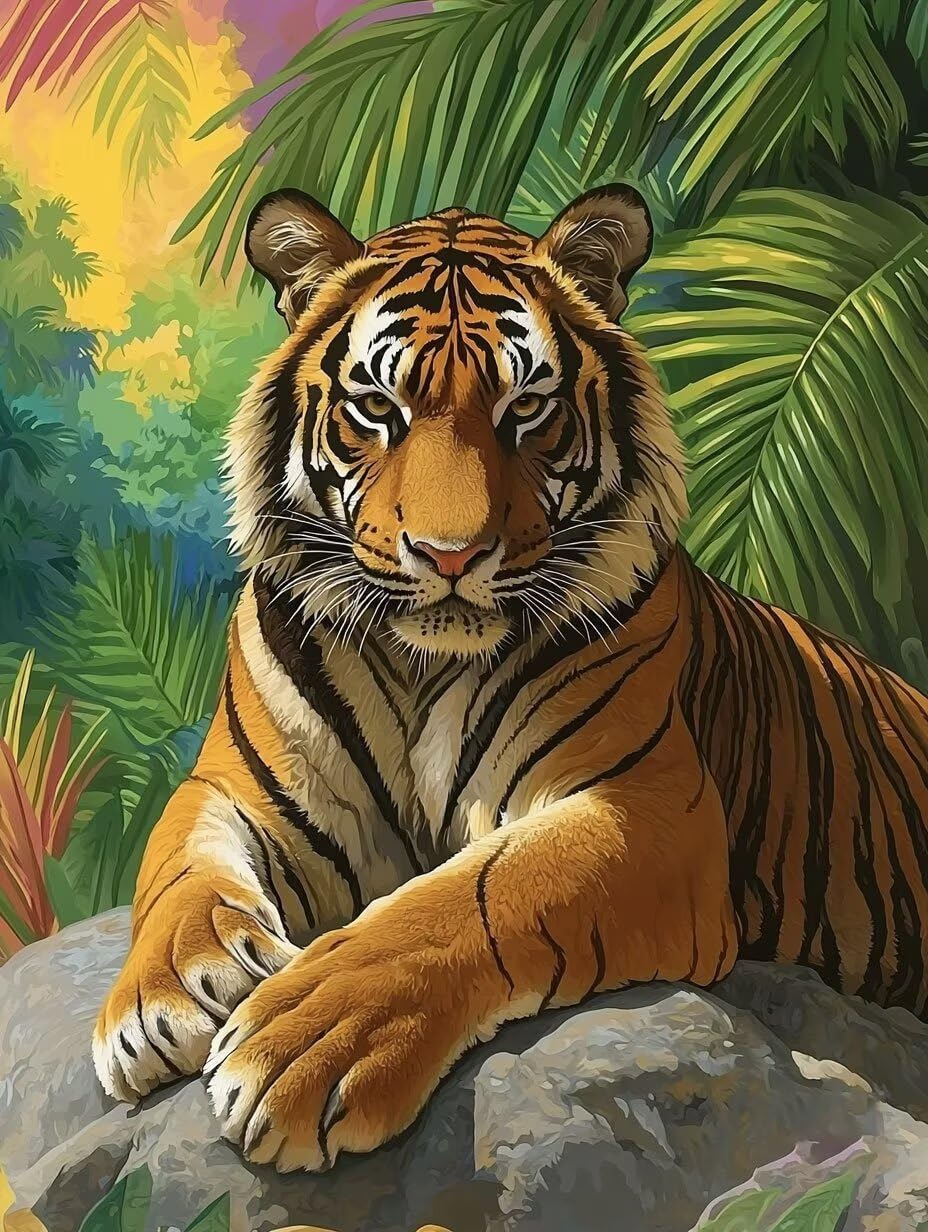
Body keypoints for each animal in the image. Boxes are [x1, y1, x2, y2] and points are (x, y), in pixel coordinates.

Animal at [93, 182, 928, 1174]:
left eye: (526, 406)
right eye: (377, 405)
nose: (450, 555)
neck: (420, 666)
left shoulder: (648, 808)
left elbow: (477, 893)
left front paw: (299, 1043)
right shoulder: (237, 786)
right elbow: (176, 867)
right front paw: (164, 998)